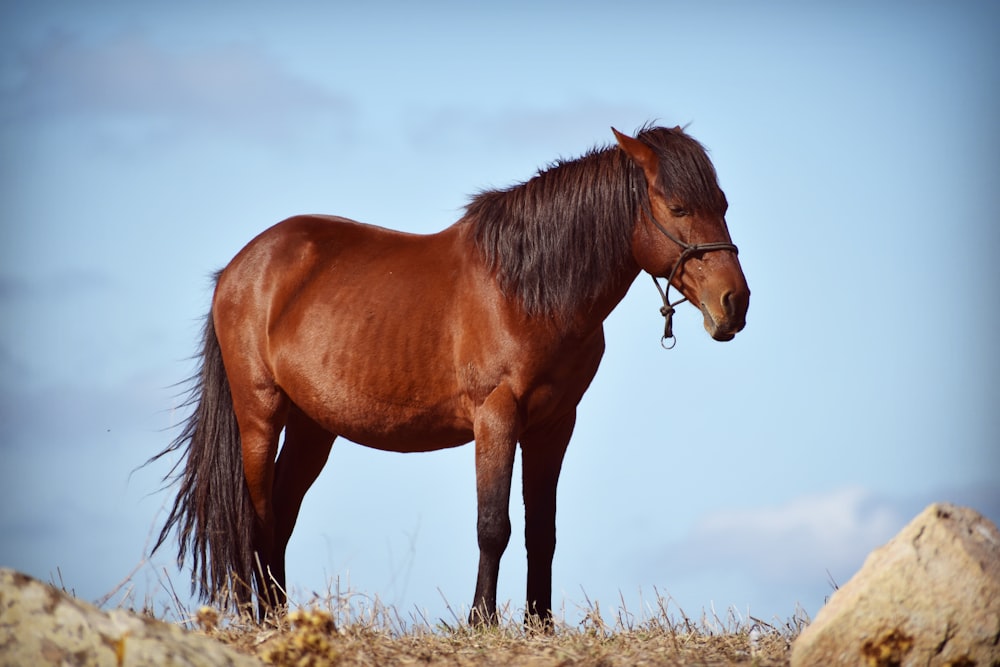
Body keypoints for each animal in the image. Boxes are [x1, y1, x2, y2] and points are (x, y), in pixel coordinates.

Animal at [152, 126, 752, 628]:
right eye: (677, 206)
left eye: (723, 204)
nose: (735, 303)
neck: (526, 288)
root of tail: (239, 268)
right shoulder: (497, 416)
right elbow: (494, 526)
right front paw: (481, 622)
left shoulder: (554, 425)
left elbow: (542, 530)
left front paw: (540, 625)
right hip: (260, 415)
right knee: (257, 516)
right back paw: (265, 622)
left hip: (312, 427)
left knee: (281, 512)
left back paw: (280, 618)